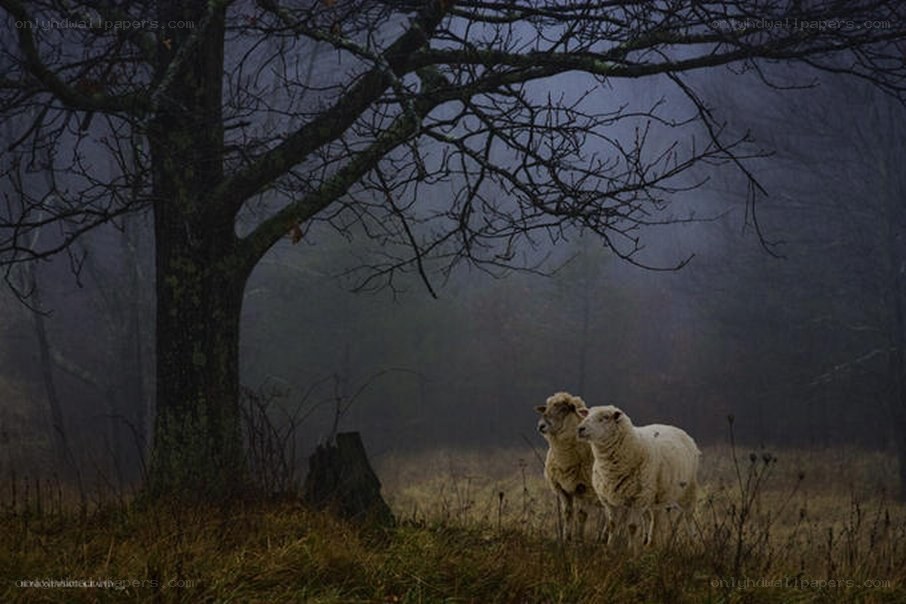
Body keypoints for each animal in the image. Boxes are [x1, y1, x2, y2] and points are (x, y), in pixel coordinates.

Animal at [535, 392, 602, 541]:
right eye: (546, 408)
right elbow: (567, 513)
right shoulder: (561, 488)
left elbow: (581, 515)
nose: (541, 426)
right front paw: (567, 538)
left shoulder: (584, 487)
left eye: (563, 409)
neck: (565, 460)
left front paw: (579, 540)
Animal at [576, 405, 699, 549]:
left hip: (687, 491)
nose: (580, 429)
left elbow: (632, 527)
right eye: (587, 414)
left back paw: (692, 543)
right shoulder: (609, 500)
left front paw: (631, 550)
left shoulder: (638, 499)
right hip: (653, 496)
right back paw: (648, 543)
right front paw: (610, 547)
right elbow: (612, 525)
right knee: (653, 518)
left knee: (687, 518)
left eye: (605, 418)